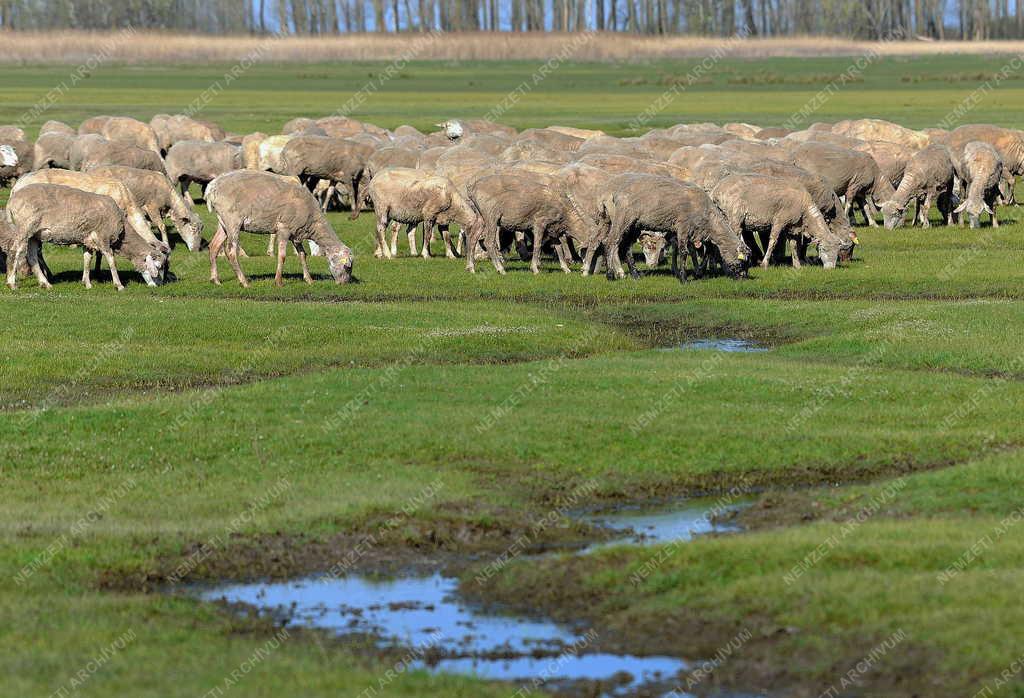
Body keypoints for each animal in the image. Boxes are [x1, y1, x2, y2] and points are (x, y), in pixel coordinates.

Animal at [4, 183, 166, 288]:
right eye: (158, 267)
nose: (159, 285)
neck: (122, 234)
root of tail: (11, 200)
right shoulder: (103, 237)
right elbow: (112, 261)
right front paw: (119, 285)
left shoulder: (87, 240)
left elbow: (87, 260)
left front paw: (87, 283)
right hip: (25, 227)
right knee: (15, 250)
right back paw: (12, 283)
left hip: (34, 235)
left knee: (32, 256)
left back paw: (45, 284)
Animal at [203, 169, 356, 286]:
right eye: (347, 267)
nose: (344, 284)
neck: (313, 223)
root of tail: (211, 186)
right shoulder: (284, 228)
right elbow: (282, 256)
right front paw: (278, 282)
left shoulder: (296, 232)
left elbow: (302, 255)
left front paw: (309, 280)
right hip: (233, 220)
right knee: (231, 251)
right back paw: (244, 281)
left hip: (223, 222)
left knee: (214, 246)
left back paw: (215, 280)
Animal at [712, 172, 847, 268]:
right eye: (824, 249)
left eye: (837, 252)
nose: (830, 269)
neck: (805, 211)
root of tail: (716, 190)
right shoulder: (780, 220)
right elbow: (773, 241)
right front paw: (765, 264)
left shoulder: (792, 226)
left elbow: (793, 245)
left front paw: (797, 265)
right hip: (734, 216)